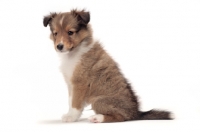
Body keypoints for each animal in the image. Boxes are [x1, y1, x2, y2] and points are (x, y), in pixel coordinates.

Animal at [43, 9, 173, 122]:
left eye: (70, 32)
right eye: (55, 33)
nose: (59, 46)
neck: (73, 53)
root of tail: (136, 113)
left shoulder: (80, 83)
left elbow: (75, 103)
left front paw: (71, 117)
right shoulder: (71, 84)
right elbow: (71, 101)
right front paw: (70, 115)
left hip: (98, 100)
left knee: (121, 117)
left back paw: (97, 118)